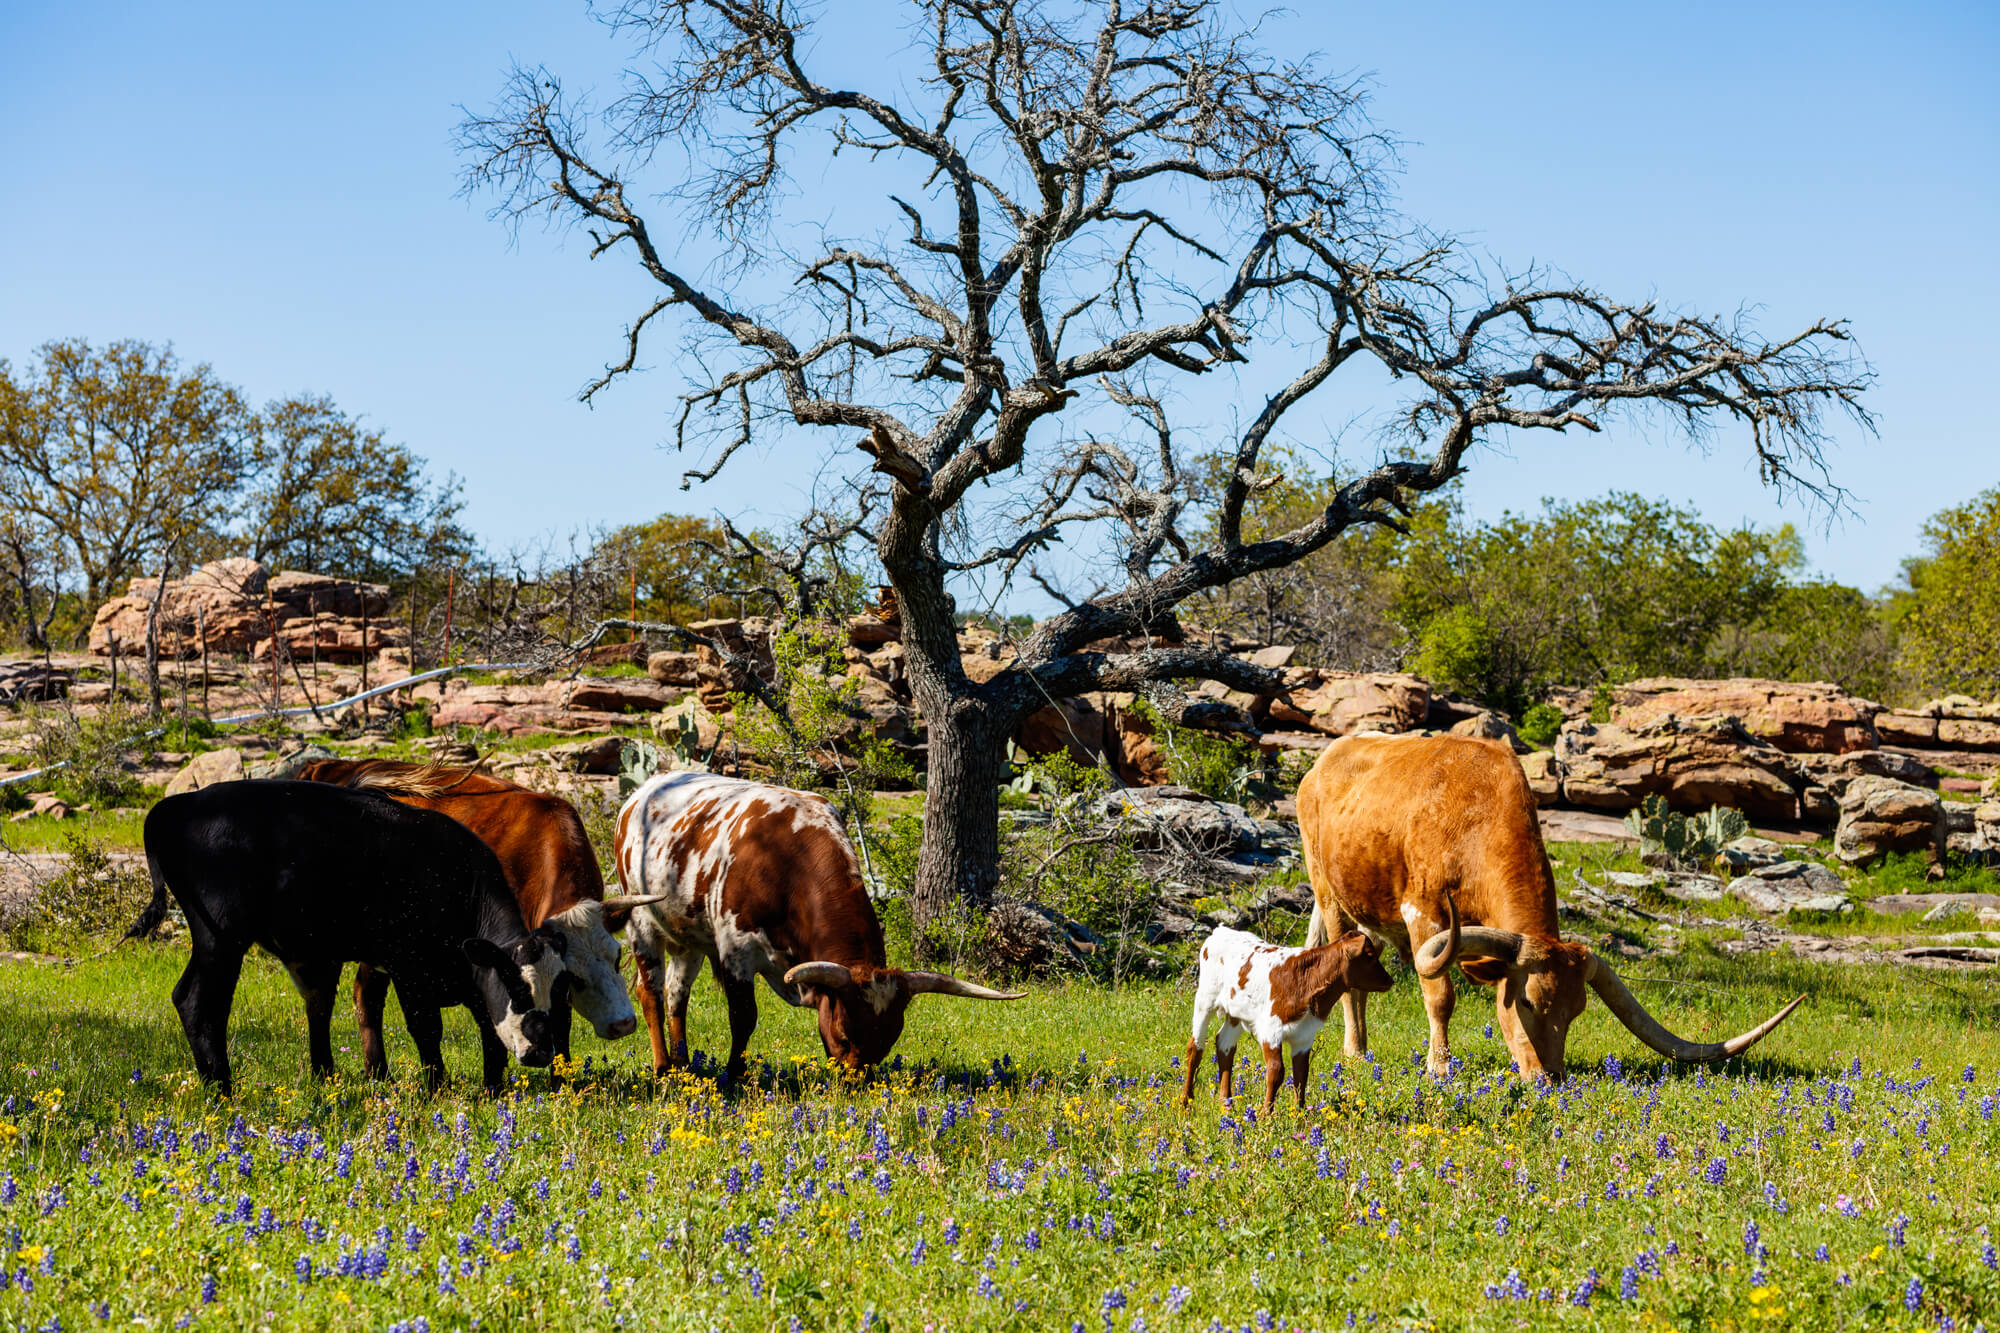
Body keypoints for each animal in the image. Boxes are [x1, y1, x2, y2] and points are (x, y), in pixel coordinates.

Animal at [131, 780, 572, 1088]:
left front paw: (493, 1089)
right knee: (198, 1003)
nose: (540, 1049)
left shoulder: (472, 979)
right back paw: (222, 1088)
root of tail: (182, 803)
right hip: (220, 939)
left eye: (558, 994)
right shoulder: (408, 965)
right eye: (517, 989)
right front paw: (438, 1088)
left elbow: (490, 1033)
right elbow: (427, 1027)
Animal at [612, 768, 1024, 1080]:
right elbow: (743, 1017)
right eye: (843, 1032)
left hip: (687, 938)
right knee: (651, 993)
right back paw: (663, 1068)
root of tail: (640, 794)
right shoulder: (735, 950)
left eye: (890, 1037)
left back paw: (683, 1067)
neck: (786, 860)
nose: (855, 1085)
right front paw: (734, 1076)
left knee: (676, 995)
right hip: (641, 921)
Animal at [1176, 924, 1384, 1112]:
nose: (1388, 980)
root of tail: (1221, 931)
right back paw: (1186, 1102)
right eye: (1370, 955)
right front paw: (1266, 1115)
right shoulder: (1271, 1030)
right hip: (1205, 1000)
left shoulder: (1304, 1036)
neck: (1306, 980)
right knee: (1195, 1047)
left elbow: (1301, 1074)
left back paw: (1226, 1105)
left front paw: (1300, 1116)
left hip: (1236, 1013)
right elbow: (1276, 1071)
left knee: (1224, 1046)